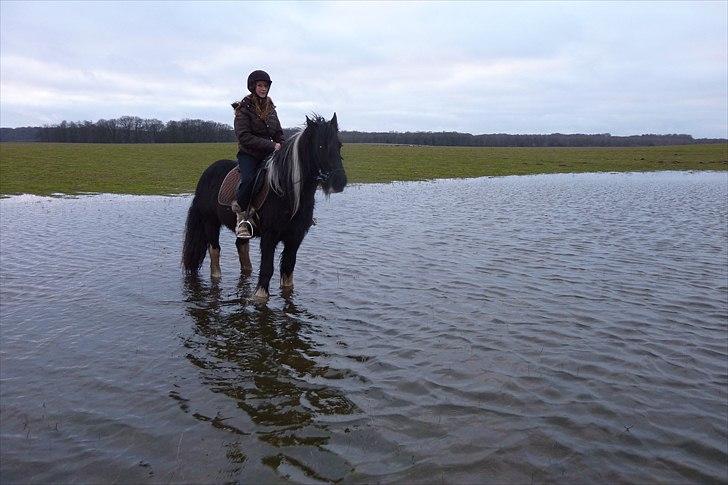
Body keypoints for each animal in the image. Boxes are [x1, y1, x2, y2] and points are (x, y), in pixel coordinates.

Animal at [182, 113, 346, 298]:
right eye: (320, 146)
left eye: (339, 145)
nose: (339, 182)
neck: (287, 193)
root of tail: (207, 172)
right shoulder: (269, 237)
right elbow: (267, 270)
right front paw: (260, 295)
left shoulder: (295, 238)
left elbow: (288, 270)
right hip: (210, 222)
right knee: (214, 251)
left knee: (241, 247)